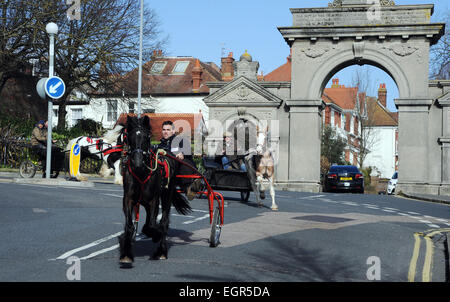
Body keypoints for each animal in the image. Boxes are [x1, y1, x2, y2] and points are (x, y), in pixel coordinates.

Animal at [118, 115, 191, 266]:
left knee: (164, 221)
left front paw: (156, 236)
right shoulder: (128, 199)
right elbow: (130, 226)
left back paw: (161, 251)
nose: (137, 163)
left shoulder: (153, 201)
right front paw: (126, 253)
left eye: (147, 137)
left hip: (167, 196)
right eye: (130, 137)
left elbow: (151, 225)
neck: (141, 173)